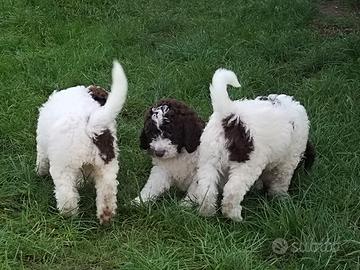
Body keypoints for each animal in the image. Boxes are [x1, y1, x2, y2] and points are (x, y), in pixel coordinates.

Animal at [188, 69, 316, 221]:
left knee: (206, 189)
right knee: (232, 191)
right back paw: (234, 216)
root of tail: (230, 114)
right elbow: (281, 180)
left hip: (209, 157)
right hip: (247, 163)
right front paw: (281, 198)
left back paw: (207, 212)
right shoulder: (288, 161)